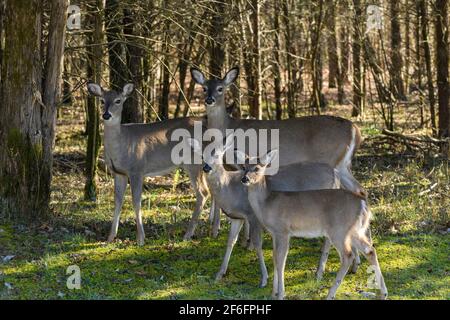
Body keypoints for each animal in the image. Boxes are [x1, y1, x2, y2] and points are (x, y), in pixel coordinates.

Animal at [87, 83, 218, 245]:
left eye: (118, 101)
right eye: (102, 101)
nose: (106, 115)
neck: (122, 144)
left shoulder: (137, 169)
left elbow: (136, 201)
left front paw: (140, 239)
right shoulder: (118, 173)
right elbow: (117, 201)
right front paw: (110, 237)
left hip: (193, 162)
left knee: (203, 192)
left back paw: (188, 234)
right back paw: (212, 227)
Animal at [187, 134, 342, 288]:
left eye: (218, 155)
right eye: (201, 155)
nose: (206, 167)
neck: (229, 188)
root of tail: (336, 176)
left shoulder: (253, 215)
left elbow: (257, 244)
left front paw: (264, 278)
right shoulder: (238, 217)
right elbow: (231, 241)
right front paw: (219, 274)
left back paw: (319, 272)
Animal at [241, 149, 388, 300]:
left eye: (257, 168)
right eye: (243, 167)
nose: (245, 179)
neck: (267, 202)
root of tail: (363, 204)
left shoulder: (283, 230)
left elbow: (281, 260)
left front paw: (281, 294)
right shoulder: (274, 234)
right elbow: (275, 258)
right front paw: (273, 293)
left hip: (339, 230)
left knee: (348, 255)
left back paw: (330, 294)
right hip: (354, 230)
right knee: (370, 250)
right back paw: (383, 293)